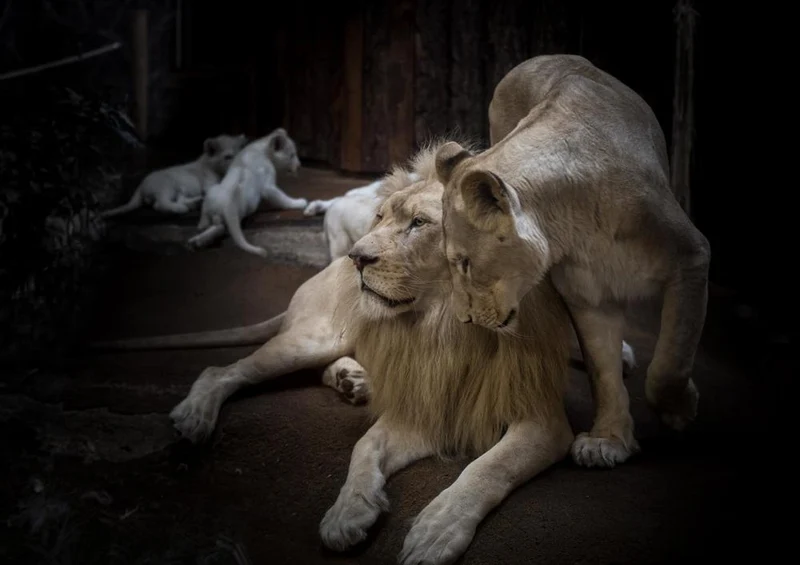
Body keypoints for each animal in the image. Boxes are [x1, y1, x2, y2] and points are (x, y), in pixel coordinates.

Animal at [100, 133, 247, 219]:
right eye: (228, 157)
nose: (240, 164)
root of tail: (141, 185)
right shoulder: (209, 184)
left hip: (178, 190)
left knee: (179, 199)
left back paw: (195, 203)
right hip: (166, 186)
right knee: (159, 204)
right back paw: (180, 209)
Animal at [187, 128, 308, 257]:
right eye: (292, 155)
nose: (299, 165)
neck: (261, 147)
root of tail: (227, 205)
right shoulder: (268, 186)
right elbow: (282, 198)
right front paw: (299, 203)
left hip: (212, 193)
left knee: (208, 221)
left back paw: (198, 237)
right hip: (246, 206)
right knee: (221, 227)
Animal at [435, 54, 711, 469]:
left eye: (465, 263)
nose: (464, 320)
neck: (575, 220)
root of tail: (545, 57)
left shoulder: (690, 256)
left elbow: (669, 359)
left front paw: (680, 407)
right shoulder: (588, 295)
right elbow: (603, 371)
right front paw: (608, 440)